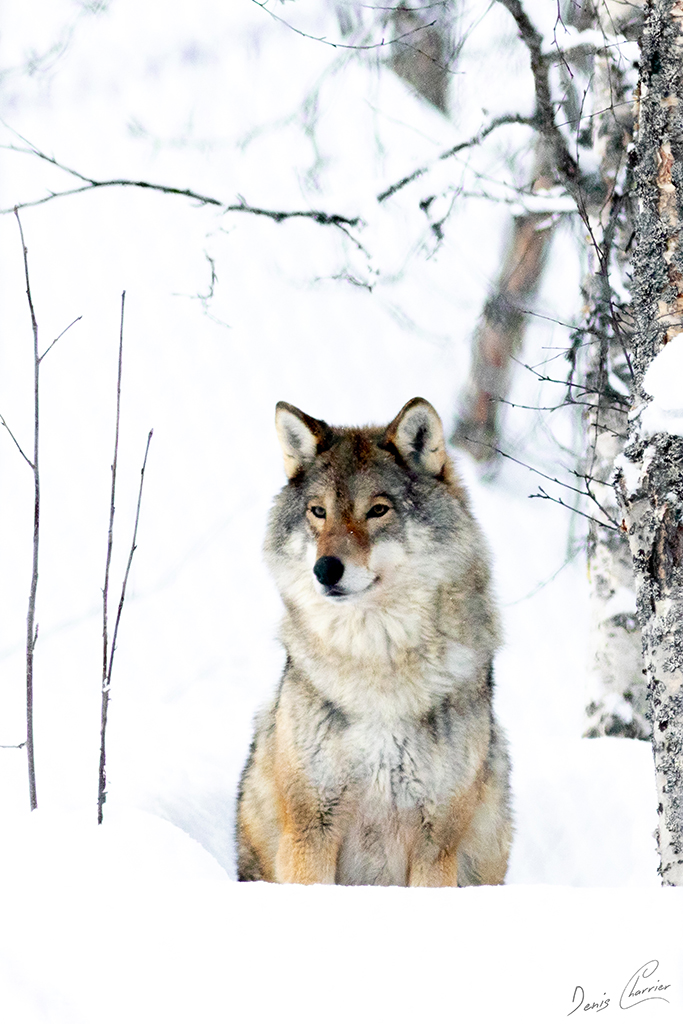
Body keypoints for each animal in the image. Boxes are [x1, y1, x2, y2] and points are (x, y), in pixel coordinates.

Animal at [236, 397, 512, 886]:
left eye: (378, 510)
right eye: (318, 512)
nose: (325, 569)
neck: (378, 669)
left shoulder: (436, 843)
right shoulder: (310, 829)